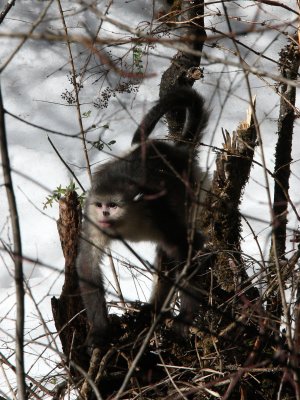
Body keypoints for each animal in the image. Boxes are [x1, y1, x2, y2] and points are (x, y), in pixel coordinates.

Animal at [76, 86, 210, 346]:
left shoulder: (156, 210)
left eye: (113, 205)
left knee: (169, 251)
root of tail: (176, 151)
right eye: (100, 205)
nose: (105, 213)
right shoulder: (93, 220)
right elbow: (87, 263)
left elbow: (188, 246)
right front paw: (100, 331)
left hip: (193, 188)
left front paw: (185, 317)